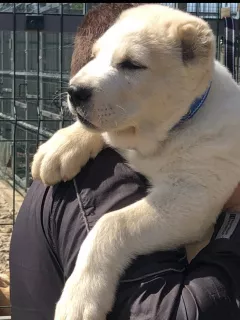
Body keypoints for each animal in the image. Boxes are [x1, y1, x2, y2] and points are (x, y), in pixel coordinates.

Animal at [31, 4, 240, 320]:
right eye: (94, 56)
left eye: (131, 64)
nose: (75, 91)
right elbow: (100, 130)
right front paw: (59, 148)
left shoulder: (191, 198)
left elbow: (112, 223)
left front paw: (80, 297)